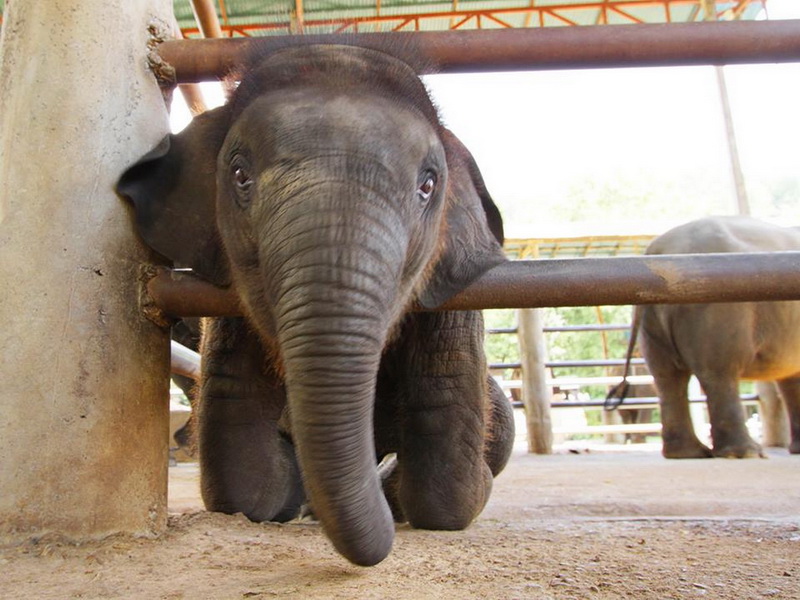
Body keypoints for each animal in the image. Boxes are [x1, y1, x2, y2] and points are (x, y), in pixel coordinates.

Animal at [116, 44, 515, 566]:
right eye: (240, 175)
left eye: (428, 186)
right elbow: (244, 483)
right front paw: (295, 499)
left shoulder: (453, 295)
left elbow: (443, 489)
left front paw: (424, 491)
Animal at [612, 216, 800, 459]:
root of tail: (658, 250)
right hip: (716, 311)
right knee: (718, 372)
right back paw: (745, 453)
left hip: (652, 318)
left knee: (667, 377)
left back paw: (688, 454)